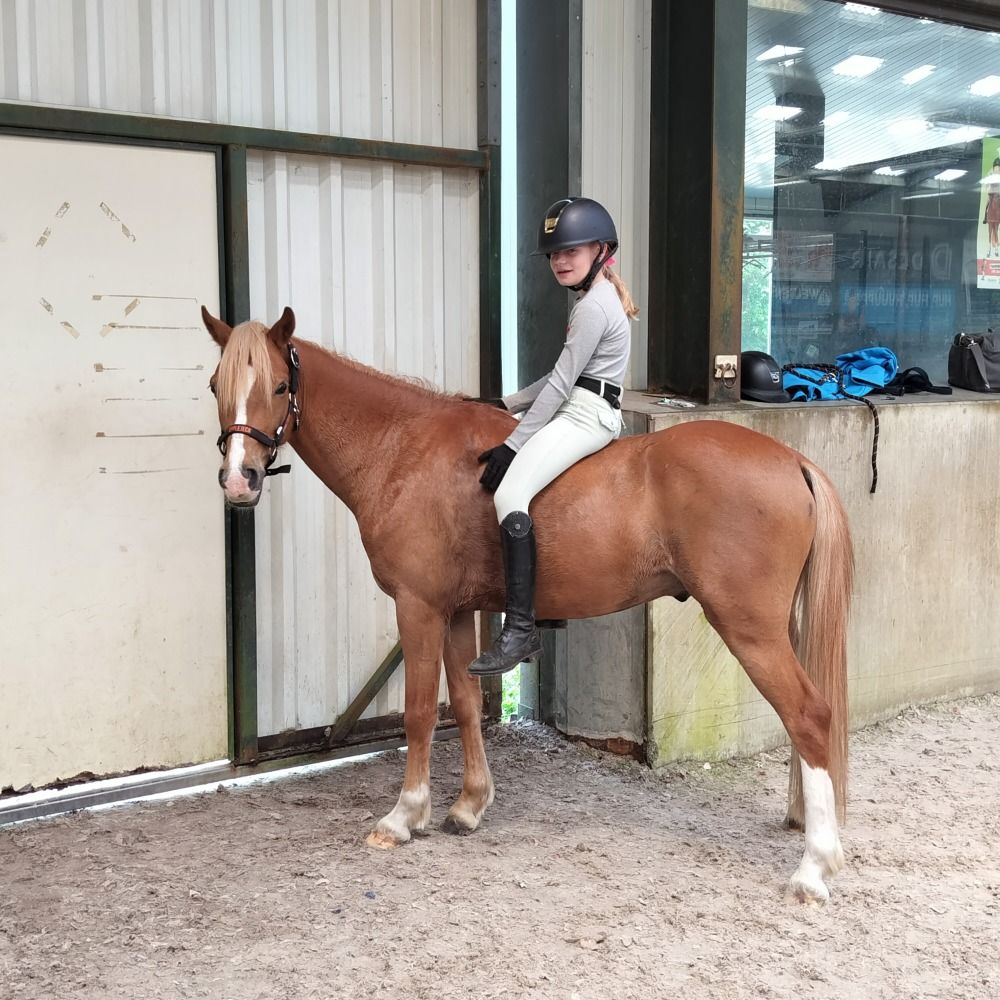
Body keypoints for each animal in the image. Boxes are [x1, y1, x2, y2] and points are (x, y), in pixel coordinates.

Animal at [201, 306, 854, 903]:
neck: (403, 447)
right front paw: (468, 805)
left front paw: (403, 816)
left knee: (809, 715)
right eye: (216, 386)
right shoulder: (456, 611)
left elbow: (419, 712)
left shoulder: (418, 607)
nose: (238, 481)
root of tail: (792, 460)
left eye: (278, 387)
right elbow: (465, 704)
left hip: (749, 628)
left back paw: (814, 867)